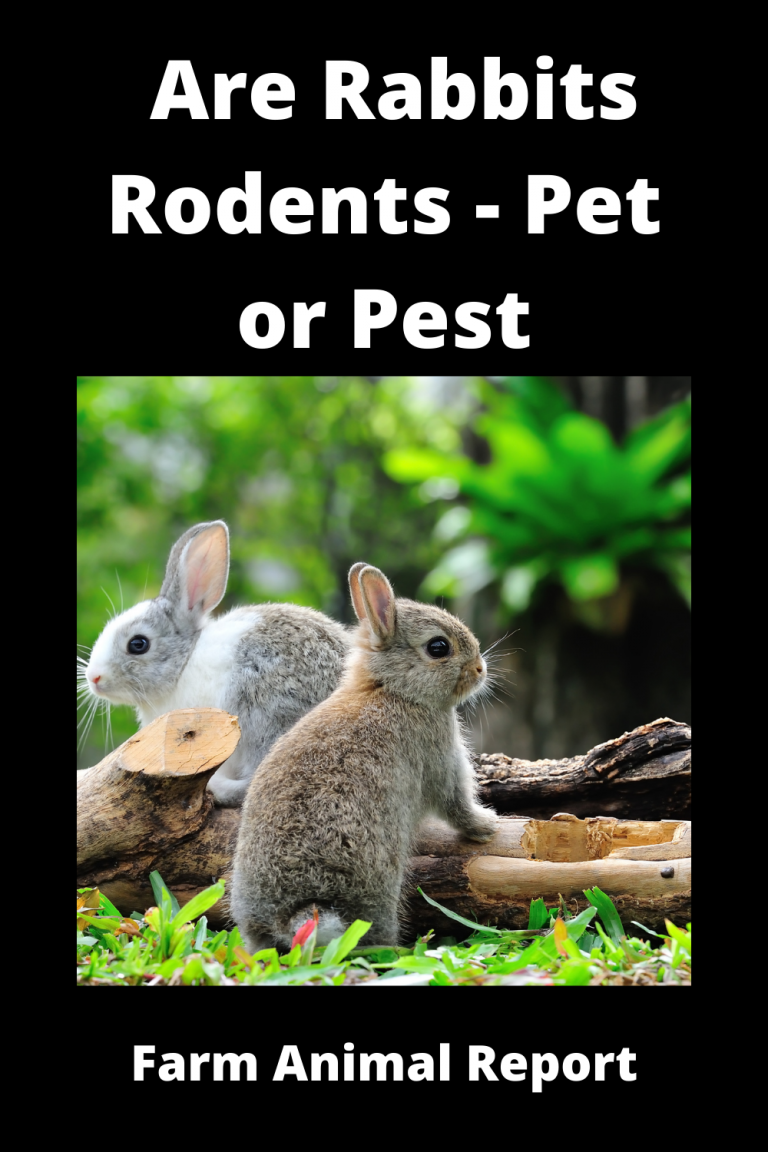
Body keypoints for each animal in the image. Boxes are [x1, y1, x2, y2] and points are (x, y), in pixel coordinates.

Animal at [230, 561, 498, 950]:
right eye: (438, 647)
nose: (480, 669)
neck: (393, 690)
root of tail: (294, 913)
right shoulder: (440, 757)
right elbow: (456, 804)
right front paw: (487, 825)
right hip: (378, 886)